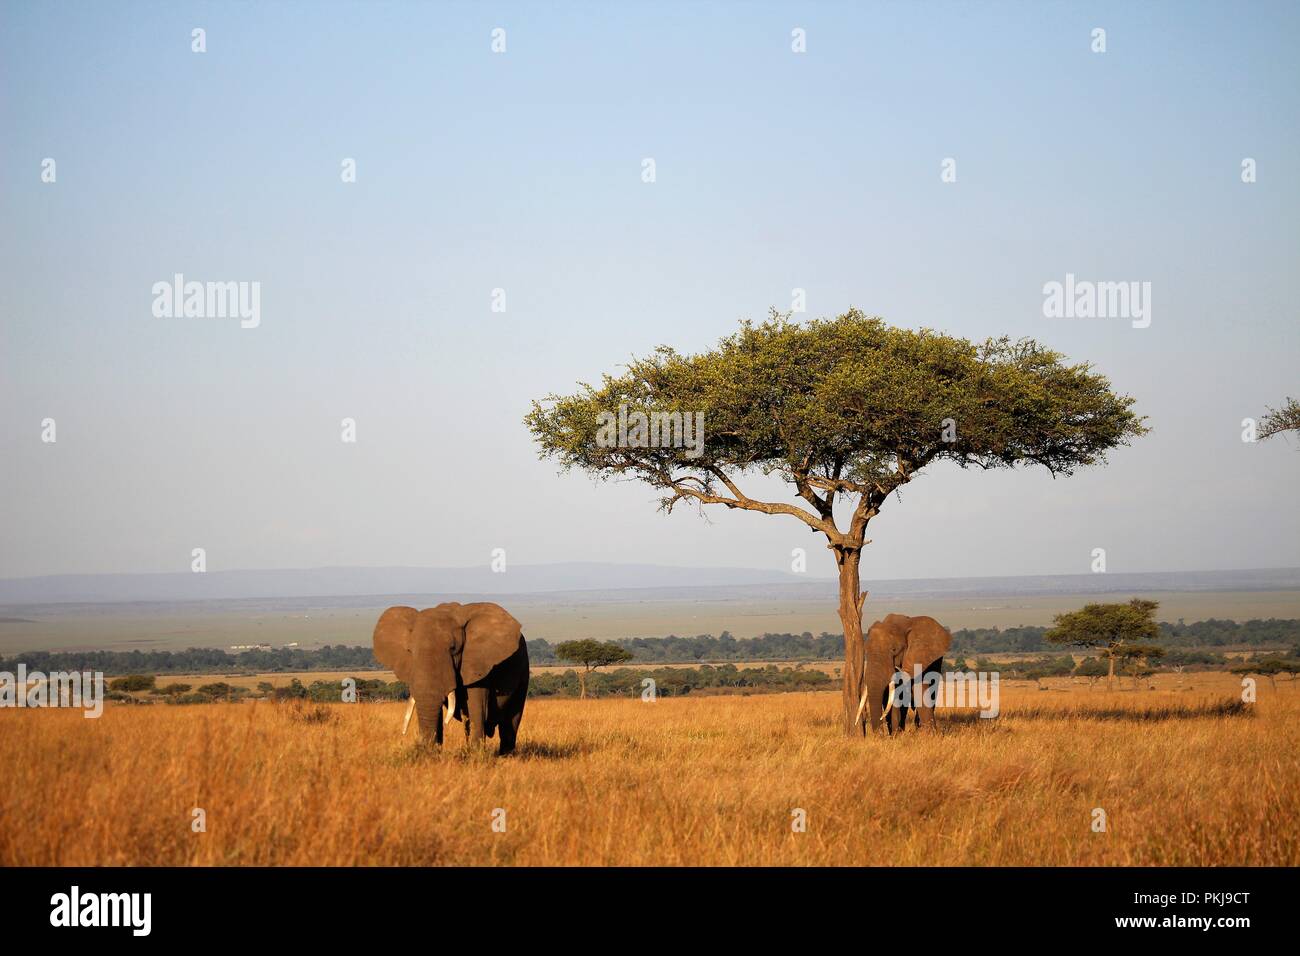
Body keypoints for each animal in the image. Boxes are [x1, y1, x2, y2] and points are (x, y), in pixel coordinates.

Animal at [371, 606, 527, 754]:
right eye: (409, 651)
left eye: (453, 649)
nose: (422, 749)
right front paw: (435, 754)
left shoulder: (478, 662)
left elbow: (476, 707)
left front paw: (476, 756)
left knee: (511, 719)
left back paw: (506, 756)